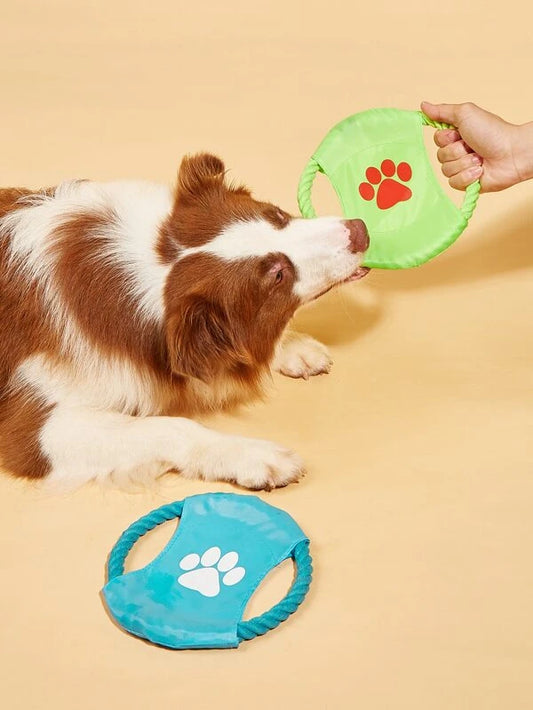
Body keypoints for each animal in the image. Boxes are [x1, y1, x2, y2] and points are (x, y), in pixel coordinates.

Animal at [0, 154, 368, 492]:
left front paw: (291, 347)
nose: (360, 232)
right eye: (278, 276)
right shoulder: (37, 426)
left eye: (276, 215)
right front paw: (254, 455)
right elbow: (170, 426)